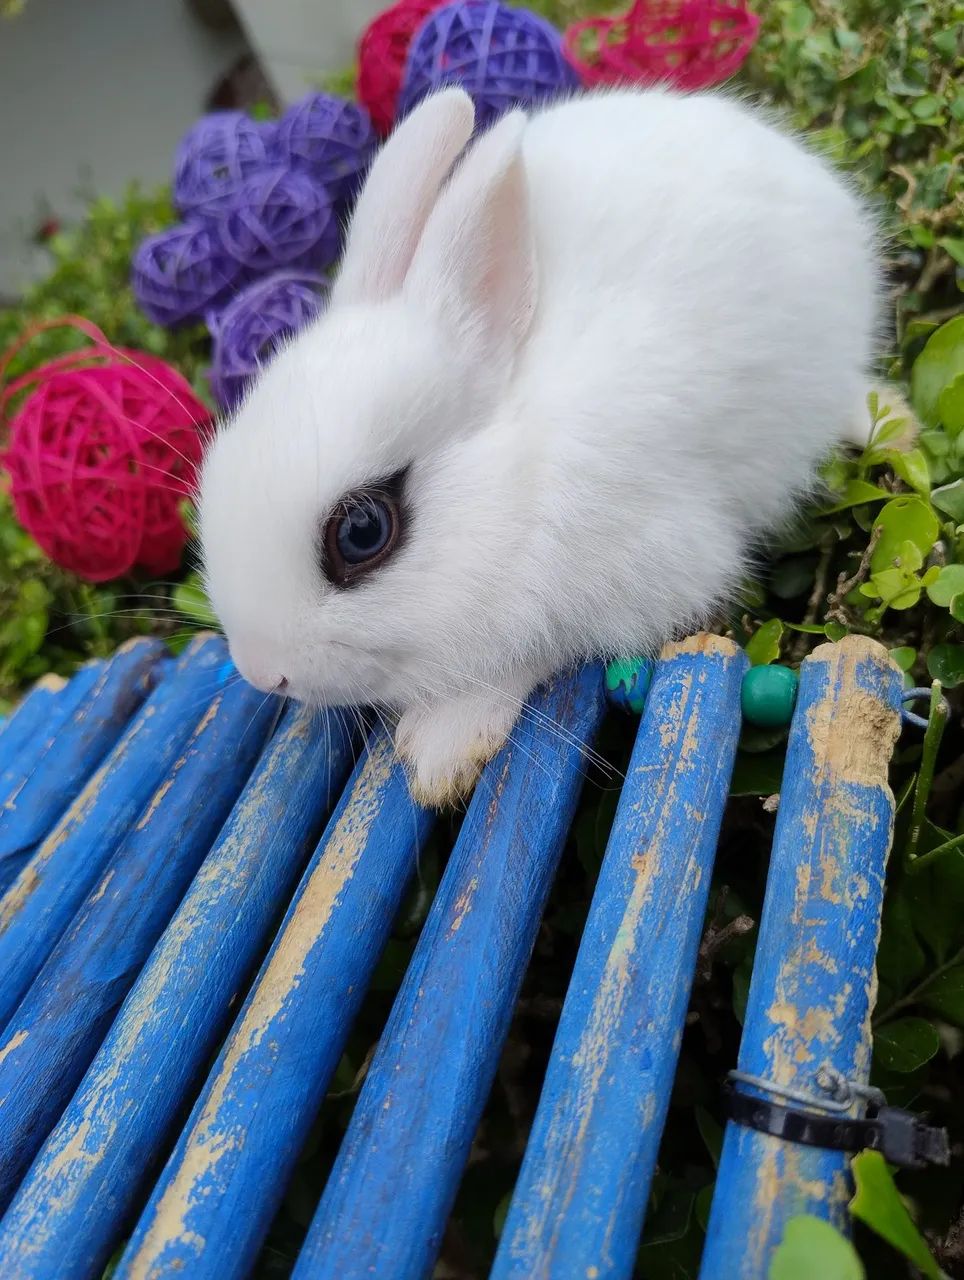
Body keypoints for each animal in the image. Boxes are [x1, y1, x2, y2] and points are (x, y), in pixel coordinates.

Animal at [199, 85, 882, 806]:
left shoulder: (650, 569)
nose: (262, 671)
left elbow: (528, 654)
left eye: (362, 531)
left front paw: (441, 750)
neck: (523, 470)